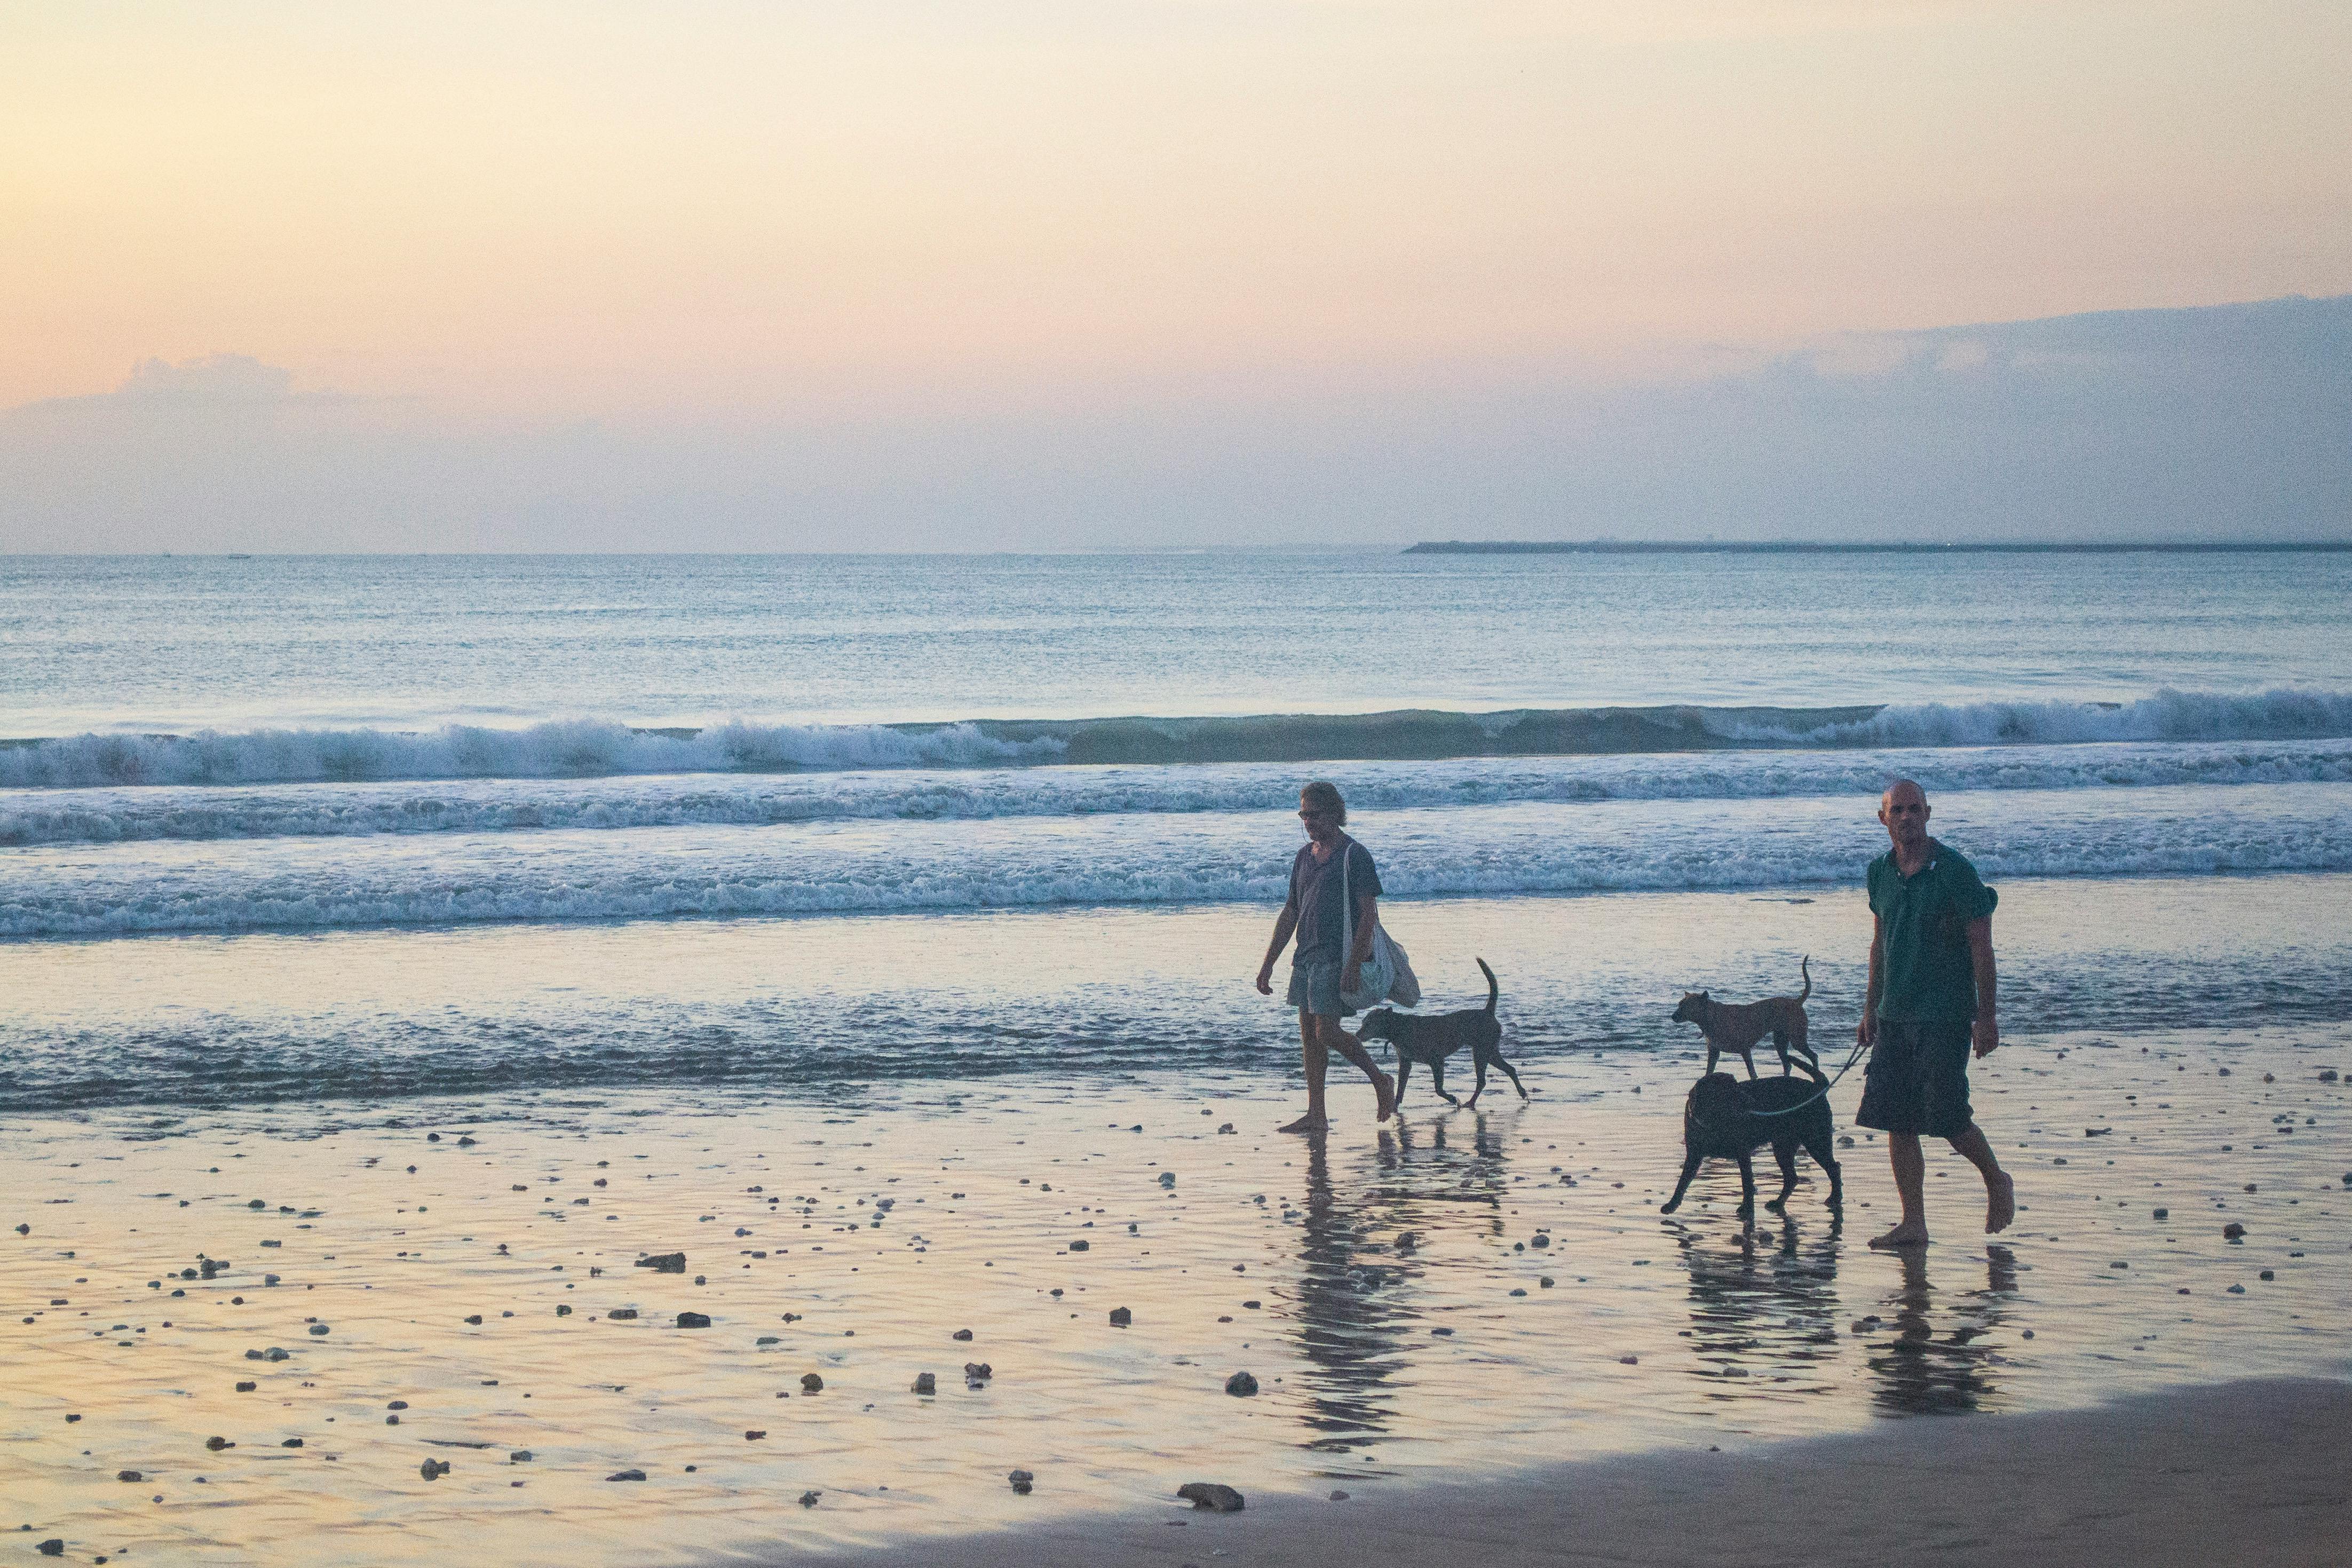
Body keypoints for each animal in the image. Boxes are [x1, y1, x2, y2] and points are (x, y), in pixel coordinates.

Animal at [1355, 963, 1533, 1110]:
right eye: (1364, 1022)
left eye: (1369, 1023)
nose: (1357, 1035)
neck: (1399, 1028)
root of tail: (1487, 1012)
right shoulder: (1405, 1062)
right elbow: (1401, 1088)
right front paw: (1395, 1106)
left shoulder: (1437, 1060)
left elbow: (1438, 1089)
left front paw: (1453, 1099)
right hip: (1489, 1052)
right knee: (1510, 1069)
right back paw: (1521, 1092)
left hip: (1482, 1052)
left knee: (1483, 1081)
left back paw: (1470, 1103)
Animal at [1665, 959, 1825, 1081]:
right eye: (1680, 1004)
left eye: (1686, 1006)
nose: (1672, 1017)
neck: (1712, 1017)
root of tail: (1797, 1002)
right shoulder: (1714, 1052)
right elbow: (1709, 1072)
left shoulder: (1745, 1050)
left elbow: (1752, 1072)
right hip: (1780, 1041)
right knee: (1788, 1064)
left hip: (1797, 1039)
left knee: (1813, 1056)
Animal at [1665, 1072, 1844, 1222]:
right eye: (1728, 1091)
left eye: (1737, 1086)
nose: (1752, 1102)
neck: (1714, 1124)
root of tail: (1818, 1088)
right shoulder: (1694, 1155)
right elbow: (1683, 1181)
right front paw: (1672, 1204)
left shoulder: (1742, 1153)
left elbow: (1747, 1183)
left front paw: (1747, 1209)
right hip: (1783, 1147)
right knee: (1792, 1177)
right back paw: (1778, 1203)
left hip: (1815, 1140)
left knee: (1833, 1167)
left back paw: (1835, 1198)